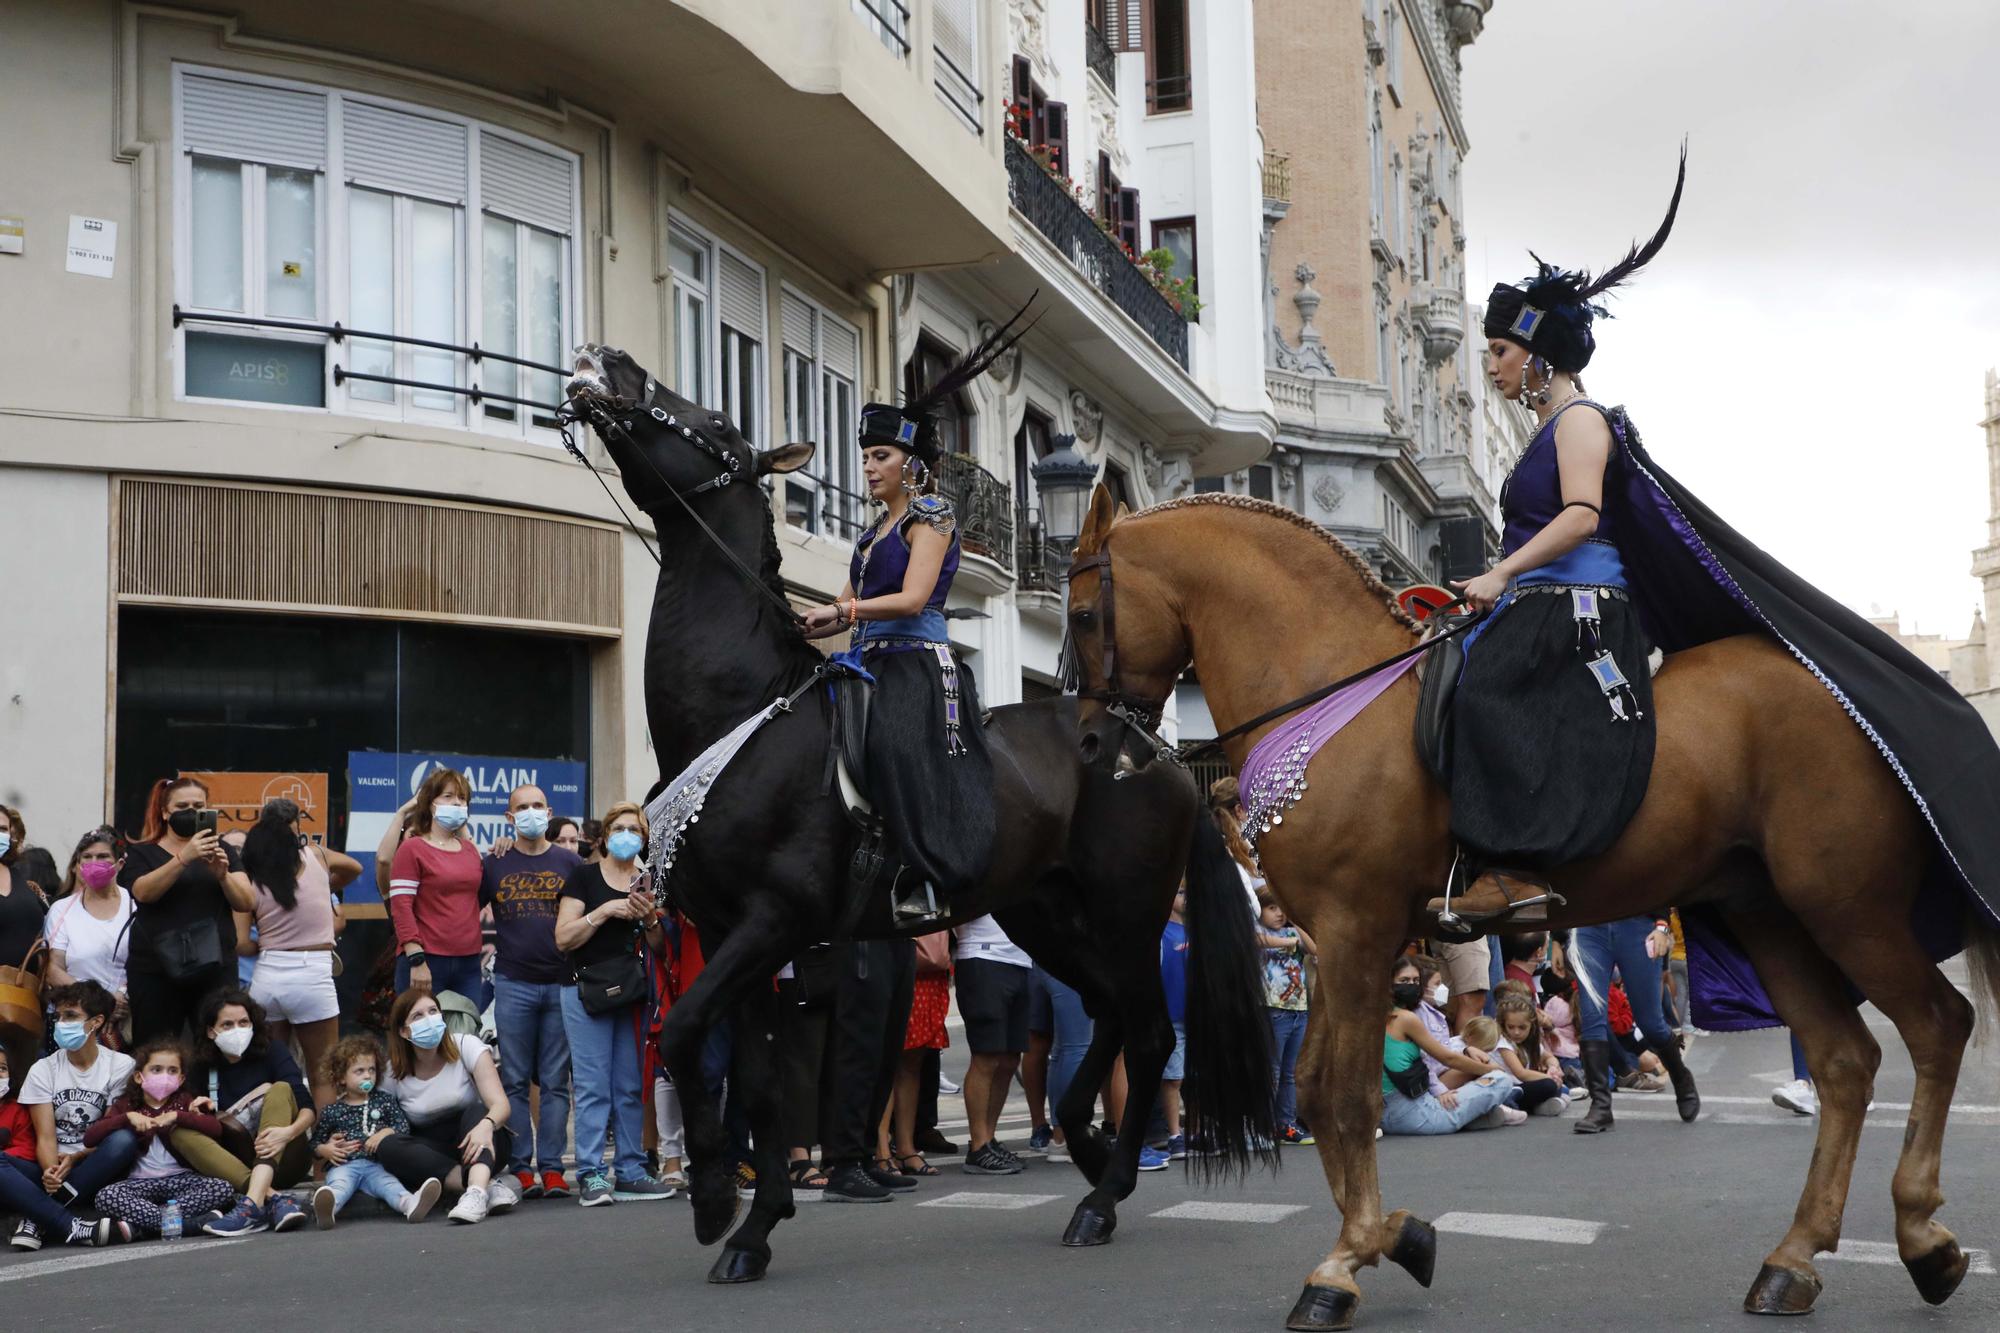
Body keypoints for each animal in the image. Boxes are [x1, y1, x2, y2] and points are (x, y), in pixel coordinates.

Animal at [572, 342, 1272, 1280]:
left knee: (1152, 1030)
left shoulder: (772, 921)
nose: (603, 361)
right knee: (1112, 1018)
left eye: (715, 421)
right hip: (1045, 915)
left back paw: (1100, 1193)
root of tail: (1147, 748)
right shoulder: (728, 934)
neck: (742, 713)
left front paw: (717, 1197)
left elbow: (686, 1035)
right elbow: (753, 1079)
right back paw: (1085, 1147)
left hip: (1123, 912)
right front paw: (754, 1221)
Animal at [1072, 488, 1992, 1328]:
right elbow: (1310, 1089)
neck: (1328, 699)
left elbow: (1347, 1096)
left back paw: (1923, 1239)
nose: (1087, 743)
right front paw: (1395, 1236)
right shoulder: (1332, 939)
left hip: (1847, 904)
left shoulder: (1358, 929)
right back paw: (1794, 1260)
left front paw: (1342, 1265)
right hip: (1769, 914)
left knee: (1937, 1023)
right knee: (1845, 1061)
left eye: (1083, 612)